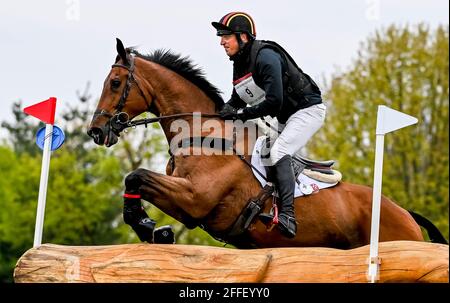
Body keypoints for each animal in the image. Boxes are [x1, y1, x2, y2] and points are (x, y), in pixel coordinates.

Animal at [88, 38, 446, 249]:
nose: (96, 131)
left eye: (116, 82)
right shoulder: (188, 201)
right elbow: (136, 179)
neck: (202, 132)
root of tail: (407, 215)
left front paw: (146, 225)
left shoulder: (195, 198)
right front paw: (152, 229)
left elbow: (136, 176)